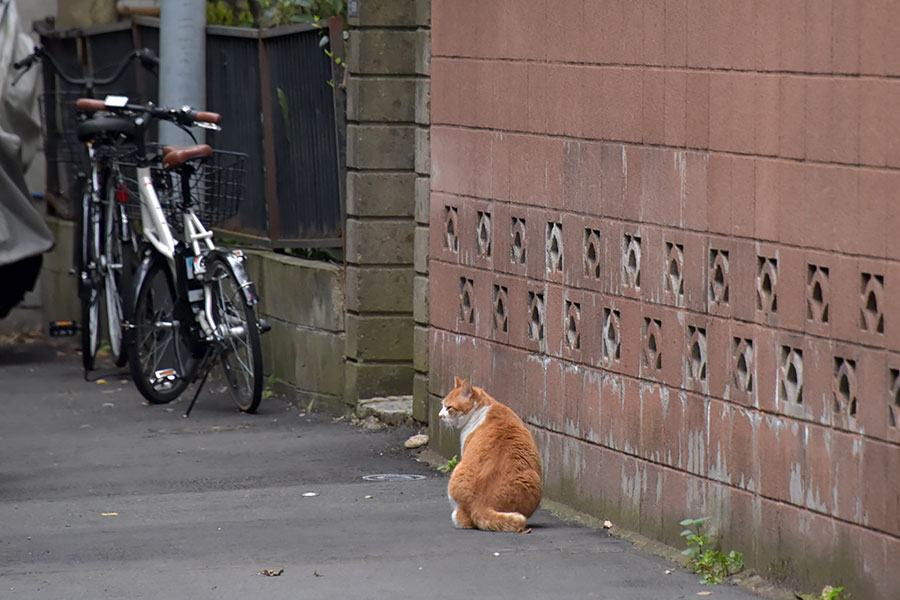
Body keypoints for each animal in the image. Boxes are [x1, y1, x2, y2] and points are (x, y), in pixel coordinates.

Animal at [438, 378, 540, 532]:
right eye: (443, 405)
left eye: (449, 407)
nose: (439, 416)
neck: (482, 408)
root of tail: (480, 505)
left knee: (462, 520)